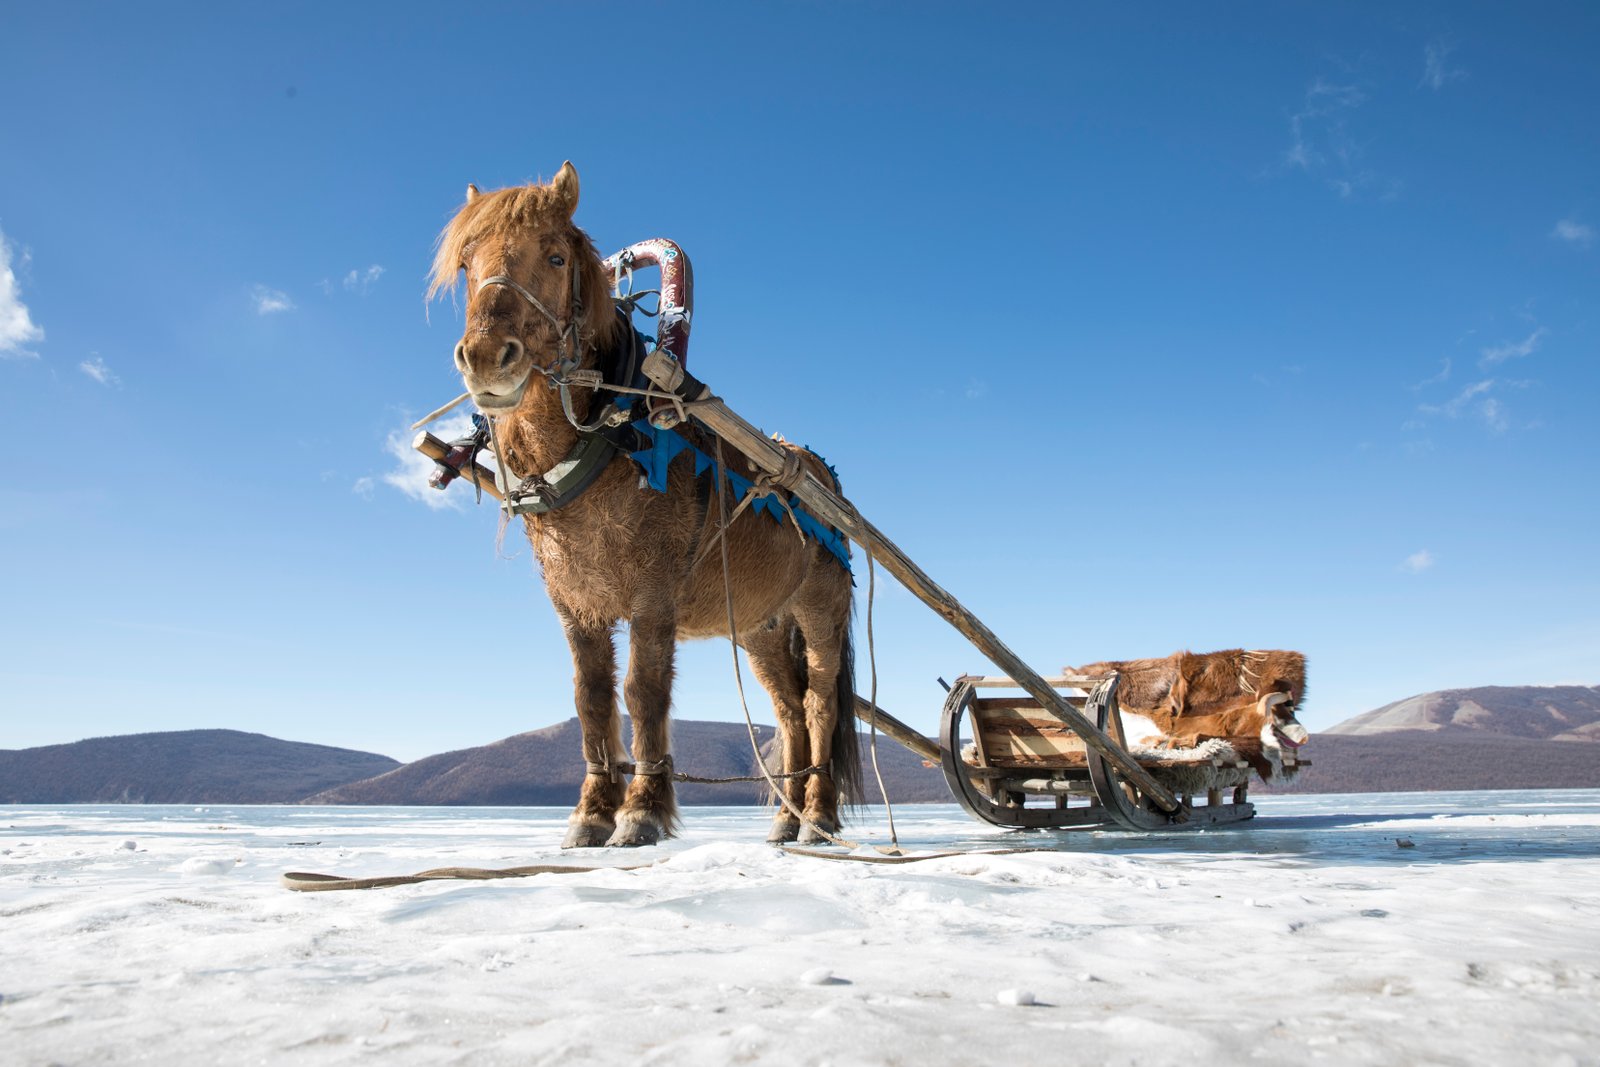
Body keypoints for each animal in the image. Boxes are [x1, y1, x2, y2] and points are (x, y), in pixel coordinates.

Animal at [429, 162, 859, 847]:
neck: (607, 439)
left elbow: (643, 690)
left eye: (555, 256)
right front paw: (591, 811)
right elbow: (592, 697)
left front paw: (642, 809)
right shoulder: (574, 603)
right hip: (760, 627)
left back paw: (817, 814)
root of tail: (825, 479)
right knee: (788, 708)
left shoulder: (654, 591)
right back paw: (785, 821)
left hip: (821, 608)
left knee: (820, 703)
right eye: (467, 264)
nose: (486, 359)